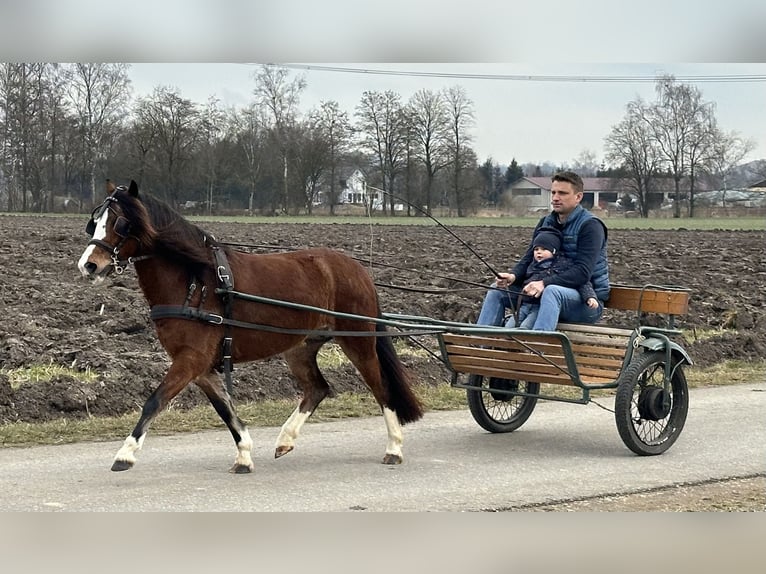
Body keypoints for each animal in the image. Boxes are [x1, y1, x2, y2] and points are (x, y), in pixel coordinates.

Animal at [76, 182, 426, 474]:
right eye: (95, 222)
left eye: (121, 223)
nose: (88, 265)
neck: (196, 281)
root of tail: (357, 268)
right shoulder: (201, 367)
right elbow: (225, 409)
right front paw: (244, 454)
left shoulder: (190, 360)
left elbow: (154, 400)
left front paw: (125, 454)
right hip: (300, 347)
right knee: (317, 388)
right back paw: (285, 439)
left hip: (358, 341)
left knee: (380, 388)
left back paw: (394, 447)